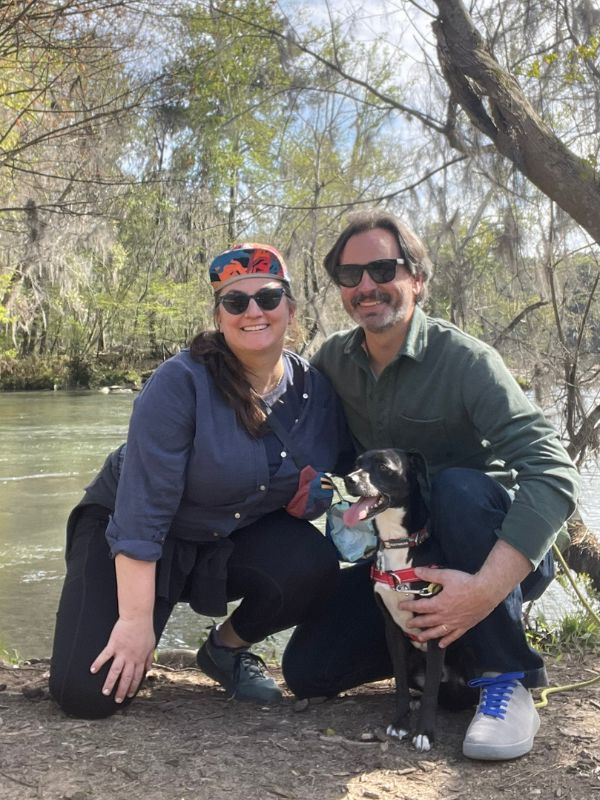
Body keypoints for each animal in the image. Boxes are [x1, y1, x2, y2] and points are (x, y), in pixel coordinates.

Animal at [344, 450, 476, 752]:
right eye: (357, 464)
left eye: (383, 466)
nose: (348, 479)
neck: (399, 543)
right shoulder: (391, 630)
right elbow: (401, 684)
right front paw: (401, 722)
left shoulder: (437, 627)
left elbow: (431, 693)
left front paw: (424, 732)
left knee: (447, 694)